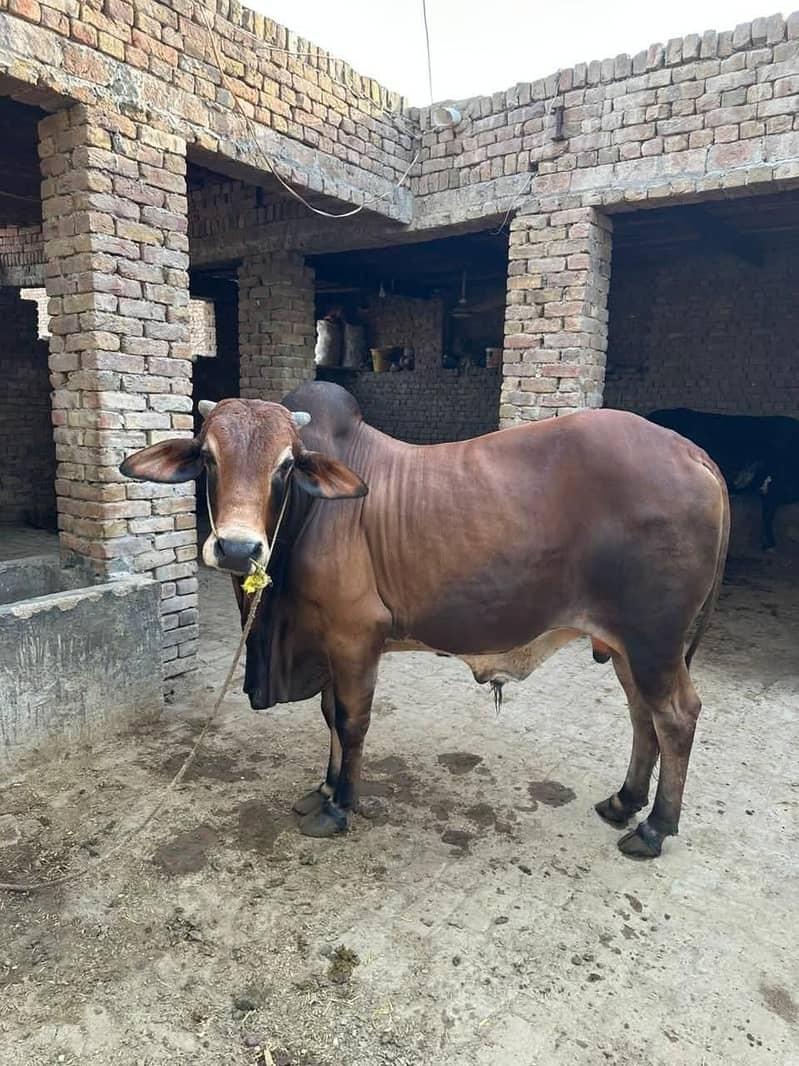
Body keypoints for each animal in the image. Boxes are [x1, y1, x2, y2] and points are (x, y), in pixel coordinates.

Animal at [120, 383, 729, 860]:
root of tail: (693, 452)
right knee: (643, 717)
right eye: (208, 457)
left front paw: (341, 806)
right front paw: (324, 788)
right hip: (628, 644)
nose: (237, 548)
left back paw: (655, 828)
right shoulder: (331, 644)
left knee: (677, 716)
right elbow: (329, 717)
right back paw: (625, 802)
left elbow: (350, 723)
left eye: (286, 466)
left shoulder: (356, 639)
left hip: (654, 641)